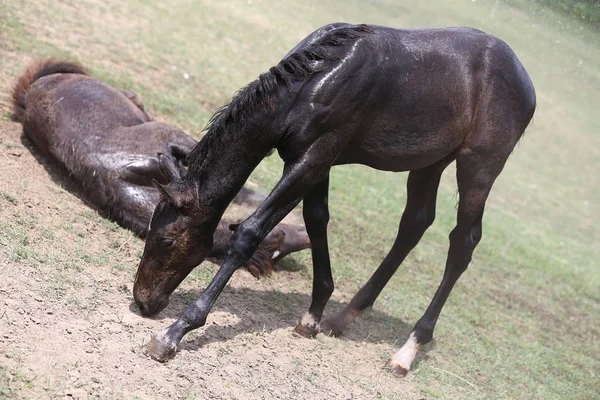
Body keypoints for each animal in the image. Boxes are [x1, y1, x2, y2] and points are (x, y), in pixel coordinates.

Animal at [135, 22, 536, 376]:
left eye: (166, 238)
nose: (142, 300)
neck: (314, 80)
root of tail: (525, 80)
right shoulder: (315, 161)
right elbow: (317, 219)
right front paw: (313, 316)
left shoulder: (313, 158)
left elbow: (249, 232)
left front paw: (174, 333)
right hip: (431, 161)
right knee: (414, 224)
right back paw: (343, 318)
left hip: (479, 167)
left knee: (463, 243)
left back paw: (406, 352)